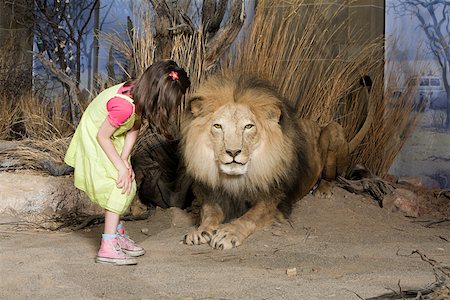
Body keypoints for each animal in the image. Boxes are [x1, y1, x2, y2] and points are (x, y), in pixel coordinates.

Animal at [179, 74, 372, 248]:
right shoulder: (212, 194)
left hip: (333, 128)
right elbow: (209, 212)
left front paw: (228, 233)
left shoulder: (274, 199)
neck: (236, 179)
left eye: (248, 126)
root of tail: (318, 124)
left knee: (332, 175)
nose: (233, 152)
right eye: (218, 126)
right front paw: (200, 230)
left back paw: (322, 190)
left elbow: (250, 216)